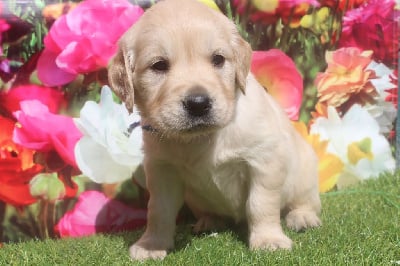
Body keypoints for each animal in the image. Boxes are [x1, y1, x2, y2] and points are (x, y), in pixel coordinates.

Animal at [108, 0, 320, 260]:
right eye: (159, 65)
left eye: (218, 59)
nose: (198, 103)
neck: (202, 138)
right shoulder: (162, 169)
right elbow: (158, 210)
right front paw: (152, 244)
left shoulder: (265, 160)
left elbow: (260, 203)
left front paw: (269, 239)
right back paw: (210, 221)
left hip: (305, 172)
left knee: (305, 201)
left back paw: (302, 216)